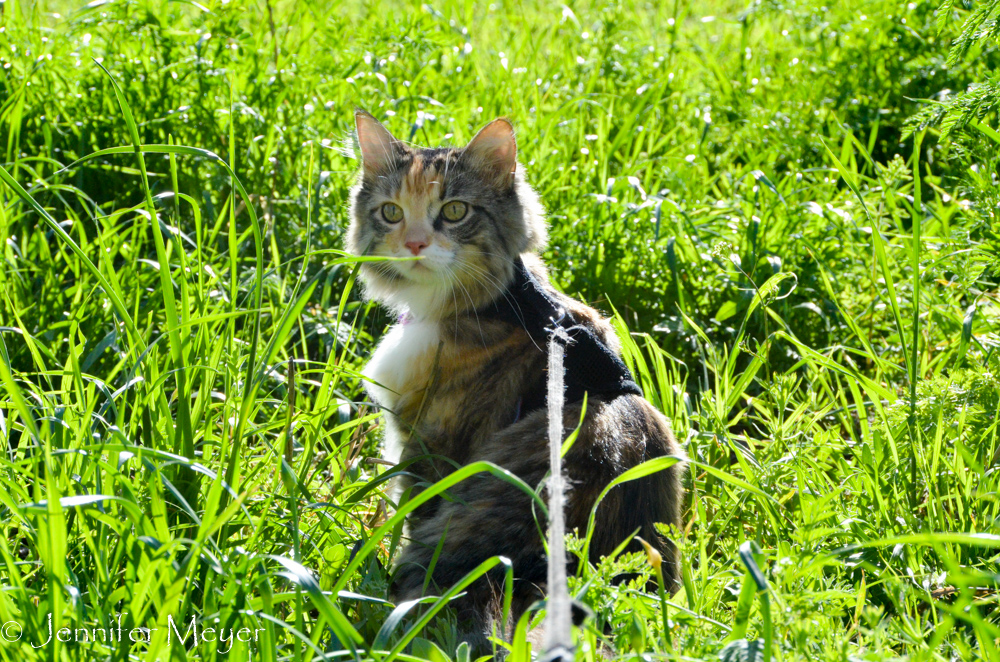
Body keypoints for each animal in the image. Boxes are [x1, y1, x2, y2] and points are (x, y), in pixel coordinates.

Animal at [348, 111, 684, 656]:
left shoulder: (428, 448)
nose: (415, 244)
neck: (500, 303)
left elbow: (409, 512)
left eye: (455, 211)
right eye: (392, 213)